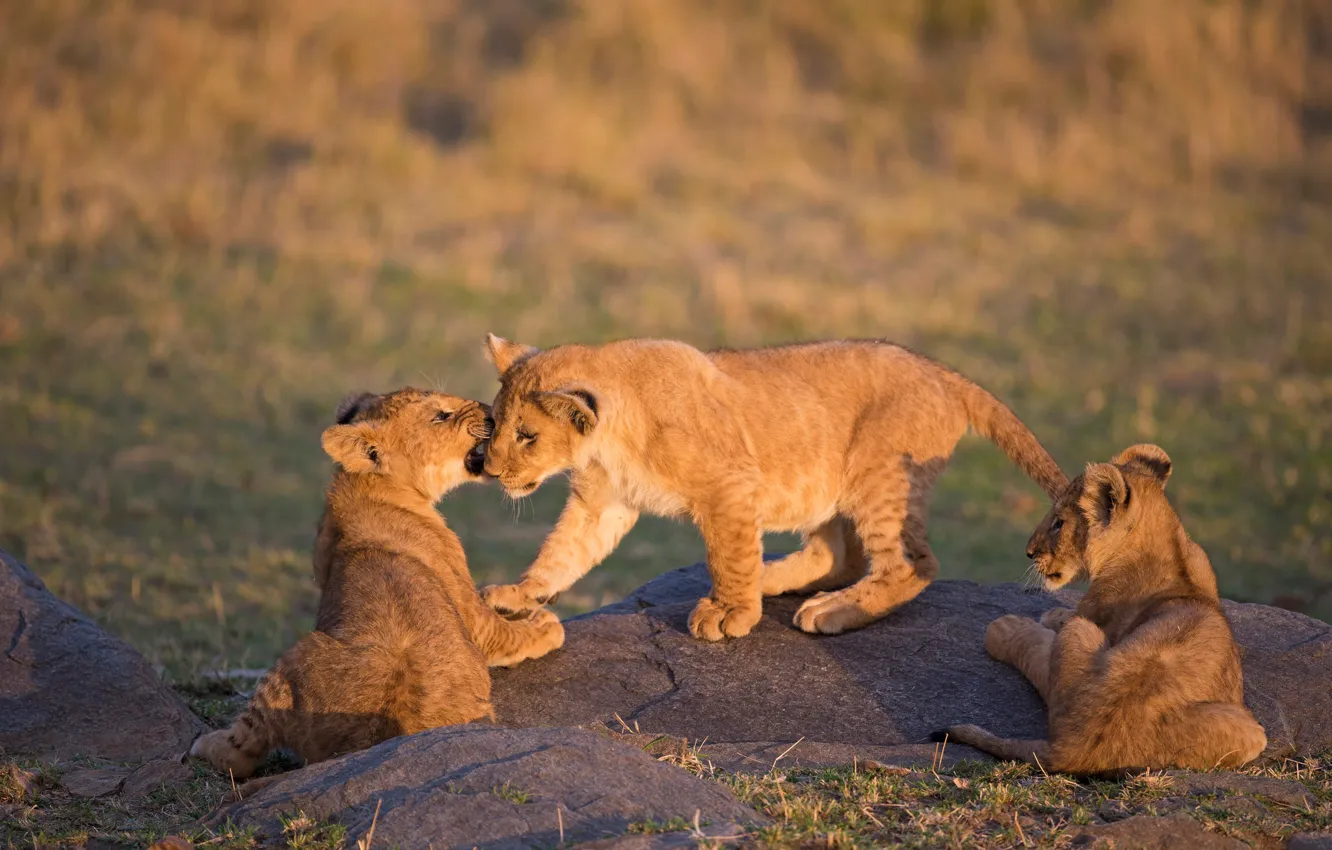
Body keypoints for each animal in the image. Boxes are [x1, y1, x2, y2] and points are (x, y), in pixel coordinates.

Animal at [190, 389, 564, 781]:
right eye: (440, 416)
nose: (493, 414)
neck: (369, 485)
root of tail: (381, 732)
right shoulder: (467, 607)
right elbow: (503, 634)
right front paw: (544, 625)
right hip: (294, 656)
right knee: (240, 754)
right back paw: (204, 745)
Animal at [477, 335, 1067, 641]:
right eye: (496, 422)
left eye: (527, 436)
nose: (489, 468)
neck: (606, 443)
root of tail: (944, 372)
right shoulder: (601, 504)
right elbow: (563, 552)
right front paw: (518, 595)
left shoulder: (730, 488)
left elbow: (728, 556)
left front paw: (729, 613)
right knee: (840, 556)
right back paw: (777, 578)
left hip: (878, 475)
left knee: (910, 564)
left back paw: (831, 610)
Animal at [936, 444, 1267, 774]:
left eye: (1059, 522)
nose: (1029, 552)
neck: (1171, 550)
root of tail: (1071, 749)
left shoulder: (1089, 615)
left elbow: (1041, 641)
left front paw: (1013, 625)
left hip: (1252, 731)